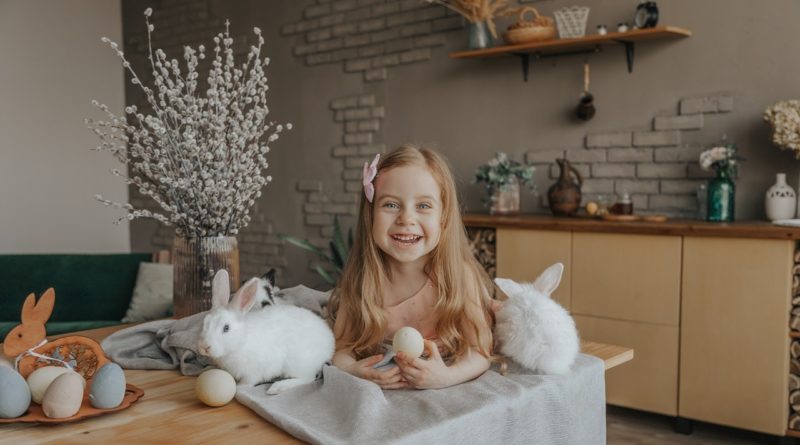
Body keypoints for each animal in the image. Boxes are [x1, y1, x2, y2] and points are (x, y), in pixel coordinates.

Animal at [203, 268, 338, 392]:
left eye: (226, 328)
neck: (241, 340)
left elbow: (249, 381)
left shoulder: (253, 371)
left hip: (297, 364)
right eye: (205, 322)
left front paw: (239, 387)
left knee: (308, 378)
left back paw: (277, 388)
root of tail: (330, 344)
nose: (205, 347)